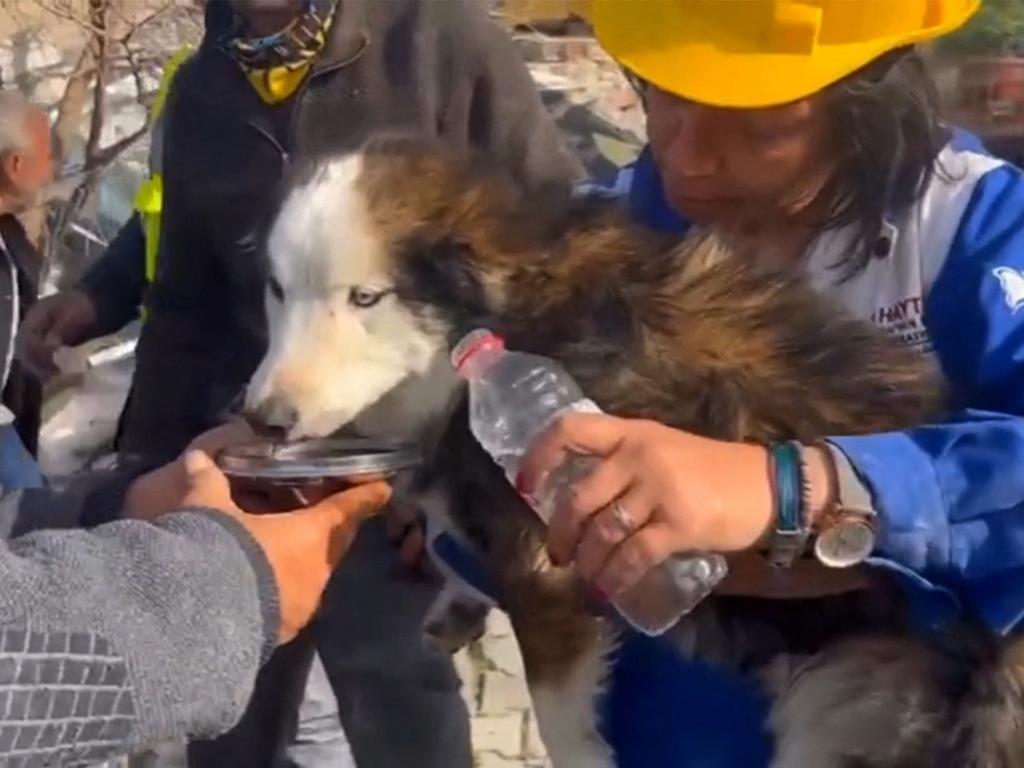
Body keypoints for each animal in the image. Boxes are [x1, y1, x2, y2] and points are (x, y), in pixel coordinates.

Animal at [245, 137, 1024, 768]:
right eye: (276, 291)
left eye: (367, 297)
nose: (262, 419)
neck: (501, 315)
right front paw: (457, 599)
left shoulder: (551, 568)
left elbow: (561, 720)